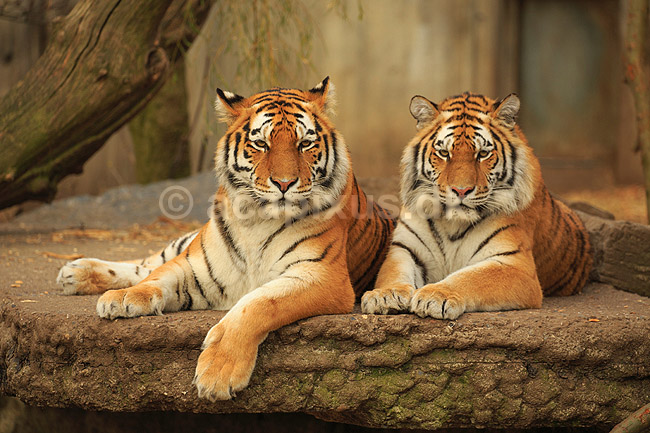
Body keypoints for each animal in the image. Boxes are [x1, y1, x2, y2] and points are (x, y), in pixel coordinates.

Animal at [57, 77, 394, 401]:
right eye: (261, 144)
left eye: (304, 144)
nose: (284, 183)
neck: (258, 220)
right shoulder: (195, 264)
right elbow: (157, 277)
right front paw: (125, 297)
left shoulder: (321, 275)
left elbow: (258, 304)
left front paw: (218, 373)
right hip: (187, 244)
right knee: (149, 262)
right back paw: (75, 272)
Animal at [361, 92, 592, 320]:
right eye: (444, 153)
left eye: (482, 154)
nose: (461, 190)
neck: (452, 224)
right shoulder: (404, 249)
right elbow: (393, 273)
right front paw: (385, 295)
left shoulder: (515, 264)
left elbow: (470, 278)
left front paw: (435, 296)